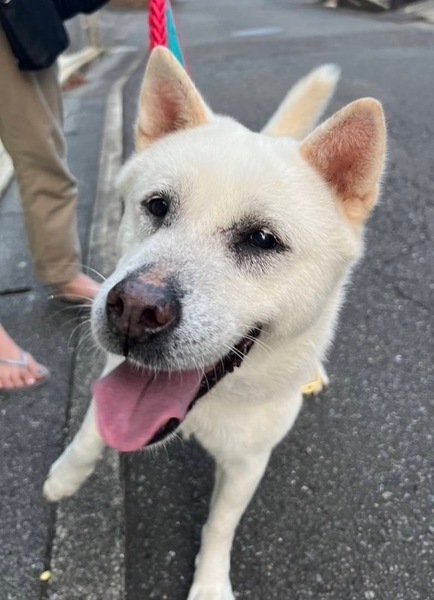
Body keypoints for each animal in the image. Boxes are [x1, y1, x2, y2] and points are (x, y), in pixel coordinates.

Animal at [43, 47, 386, 599]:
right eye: (157, 206)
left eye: (263, 240)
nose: (135, 310)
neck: (211, 403)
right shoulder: (114, 372)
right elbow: (94, 424)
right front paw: (66, 475)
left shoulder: (248, 462)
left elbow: (220, 524)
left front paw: (208, 584)